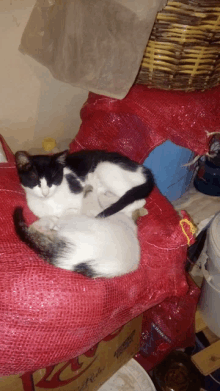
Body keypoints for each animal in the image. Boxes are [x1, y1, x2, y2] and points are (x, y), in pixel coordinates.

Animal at [14, 149, 154, 219]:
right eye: (33, 177)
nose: (45, 192)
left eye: (53, 177)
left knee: (138, 200)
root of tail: (144, 169)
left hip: (105, 167)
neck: (49, 201)